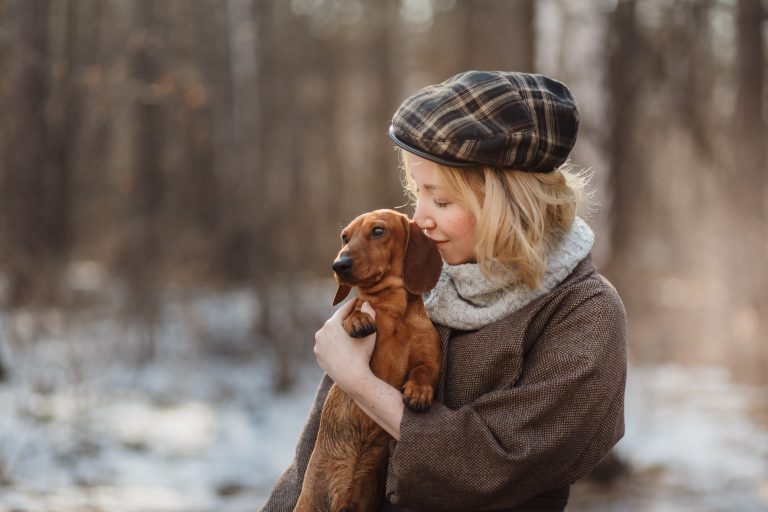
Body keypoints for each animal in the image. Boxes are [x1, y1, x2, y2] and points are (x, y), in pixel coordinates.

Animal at [292, 208, 440, 512]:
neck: (394, 312)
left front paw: (418, 393)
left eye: (378, 231)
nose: (338, 264)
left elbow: (424, 371)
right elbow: (356, 308)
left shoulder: (431, 357)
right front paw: (359, 319)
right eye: (344, 237)